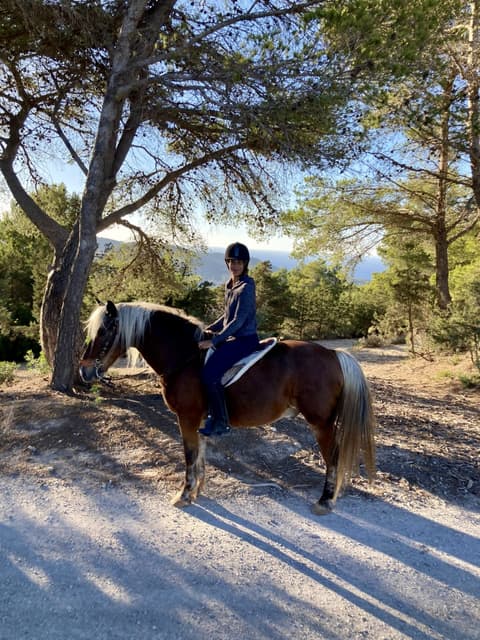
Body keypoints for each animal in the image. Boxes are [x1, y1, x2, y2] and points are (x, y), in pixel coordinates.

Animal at [79, 301, 376, 514]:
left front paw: (184, 494)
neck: (186, 357)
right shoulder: (199, 420)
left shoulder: (187, 418)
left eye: (104, 331)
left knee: (332, 458)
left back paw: (325, 501)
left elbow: (189, 455)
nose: (84, 371)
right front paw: (196, 491)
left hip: (321, 423)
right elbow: (199, 455)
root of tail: (334, 355)